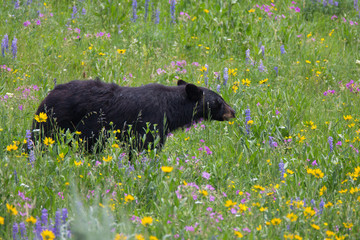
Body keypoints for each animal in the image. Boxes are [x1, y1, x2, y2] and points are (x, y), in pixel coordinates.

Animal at [33, 79, 236, 153]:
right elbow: (144, 147)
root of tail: (49, 95)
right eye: (219, 101)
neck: (171, 109)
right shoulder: (151, 122)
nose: (233, 112)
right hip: (56, 122)